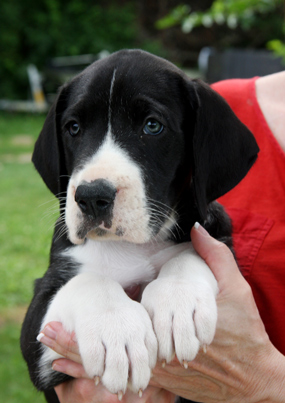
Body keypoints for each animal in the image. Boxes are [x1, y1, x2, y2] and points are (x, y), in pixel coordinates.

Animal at [21, 50, 258, 403]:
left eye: (152, 126)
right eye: (73, 128)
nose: (91, 196)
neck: (134, 246)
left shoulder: (221, 241)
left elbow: (189, 253)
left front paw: (177, 302)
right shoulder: (40, 346)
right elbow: (88, 281)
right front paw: (116, 331)